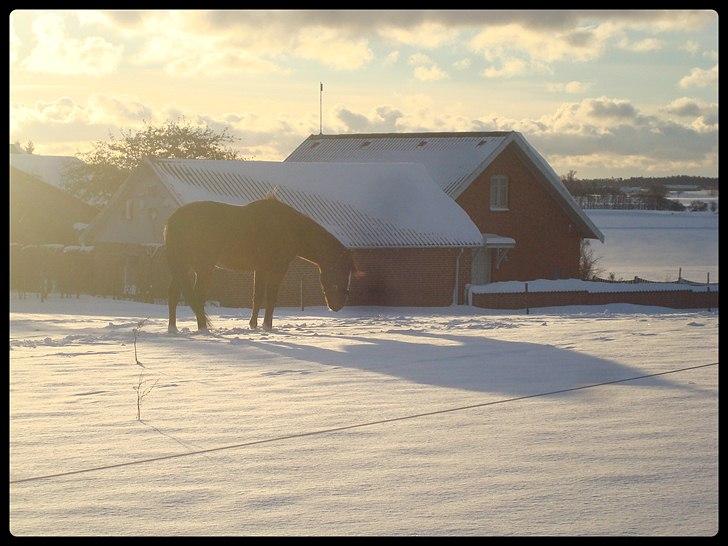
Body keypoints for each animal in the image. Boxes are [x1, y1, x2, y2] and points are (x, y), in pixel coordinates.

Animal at [165, 198, 352, 330]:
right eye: (341, 270)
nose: (338, 306)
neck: (288, 228)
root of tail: (174, 219)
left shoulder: (261, 269)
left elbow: (257, 297)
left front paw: (254, 325)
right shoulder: (277, 269)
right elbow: (270, 297)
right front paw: (267, 326)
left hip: (184, 267)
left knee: (174, 294)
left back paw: (173, 328)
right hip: (202, 267)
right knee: (197, 295)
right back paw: (203, 328)